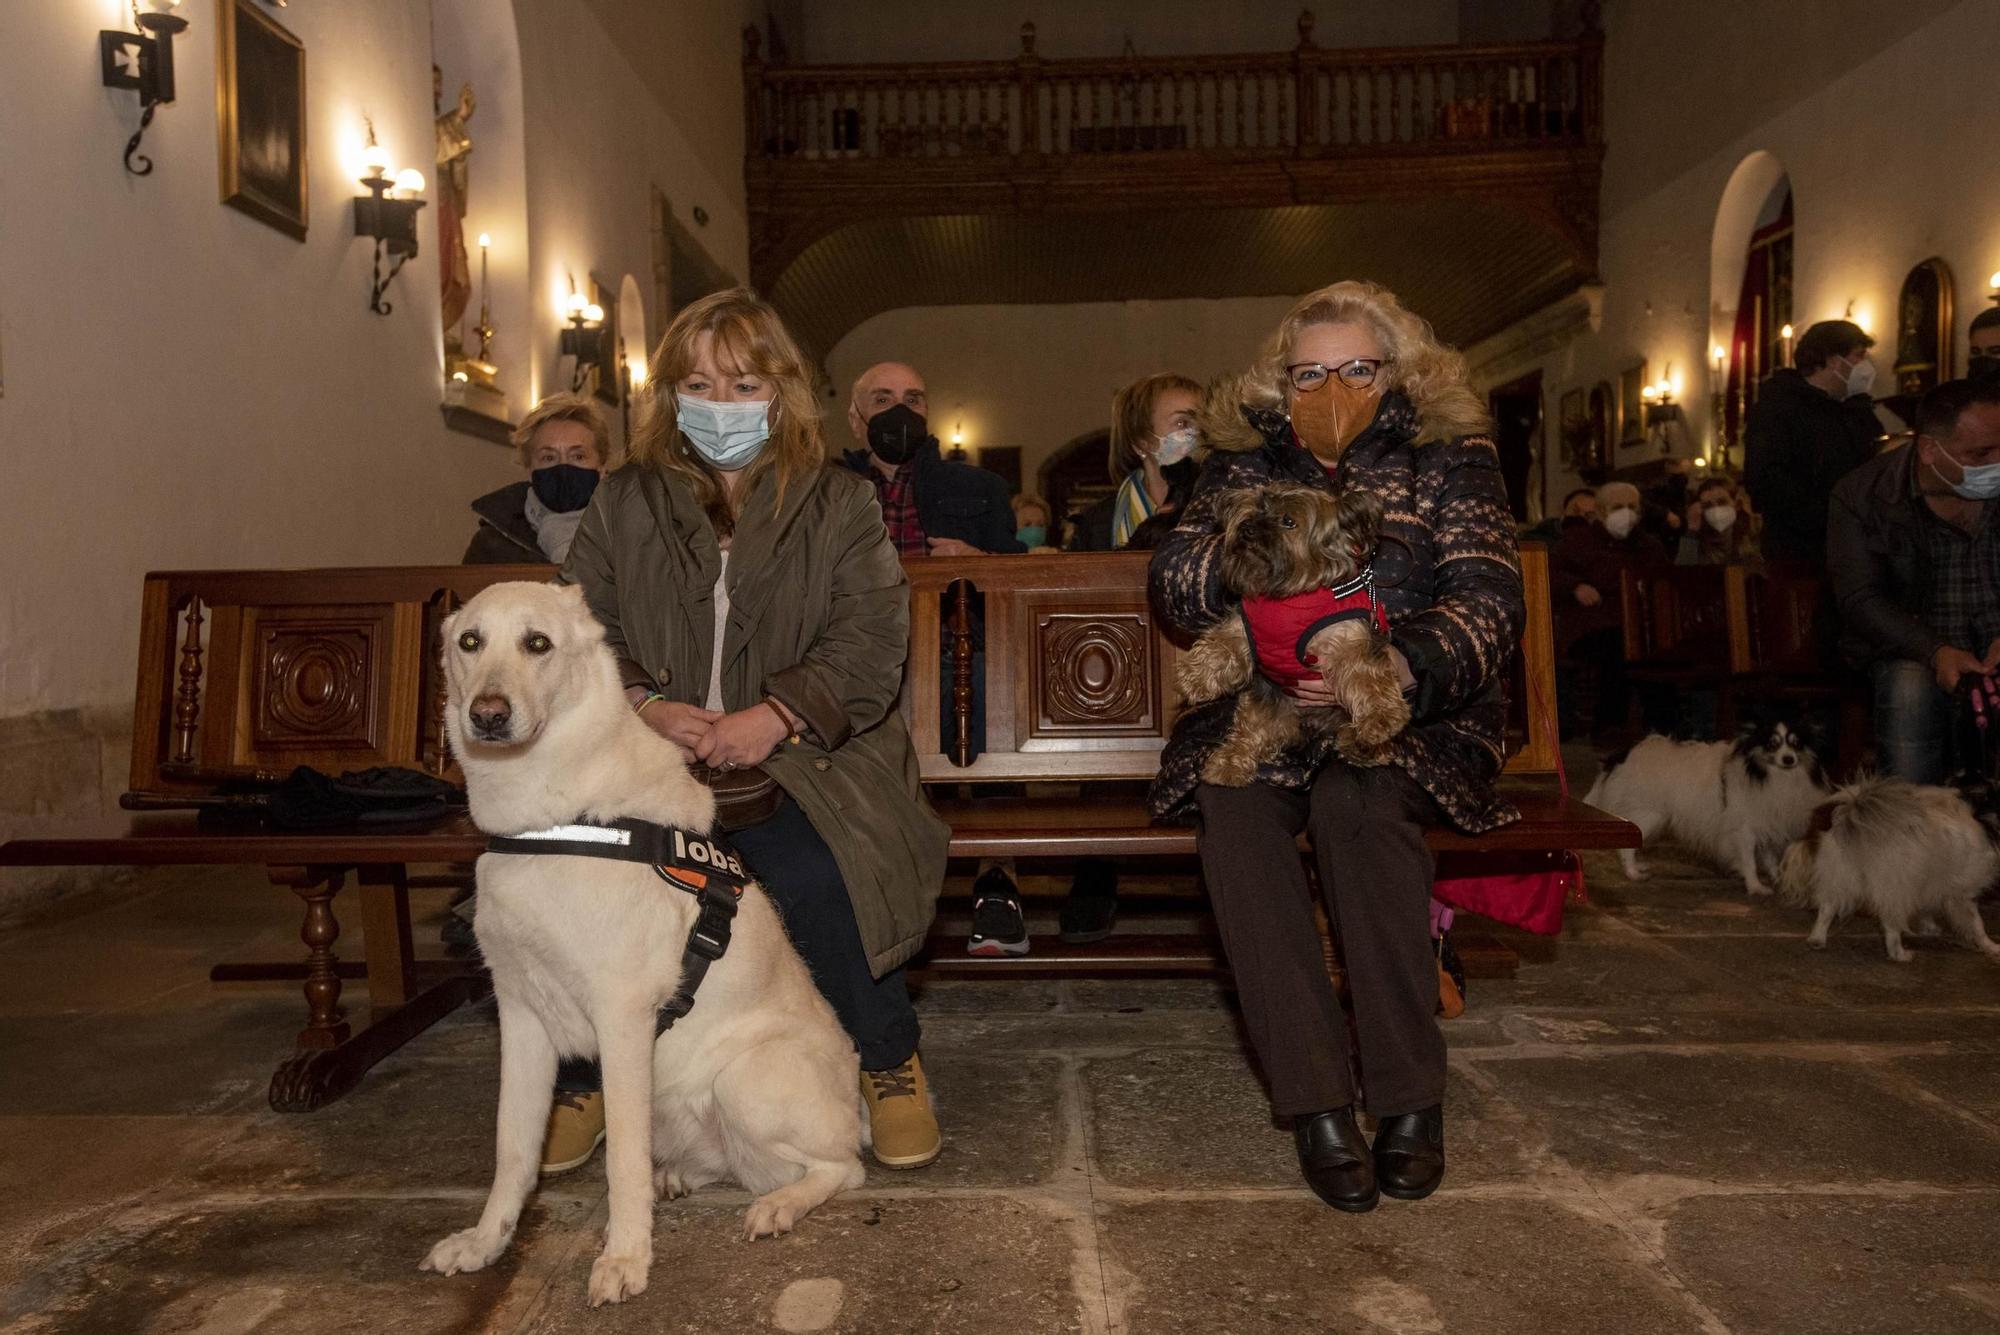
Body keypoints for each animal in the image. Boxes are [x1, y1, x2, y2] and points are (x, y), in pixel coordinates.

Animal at [418, 579, 864, 1303]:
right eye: (470, 642)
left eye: (537, 643)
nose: (487, 715)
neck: (549, 821)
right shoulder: (521, 1018)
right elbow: (513, 1150)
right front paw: (487, 1242)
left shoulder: (622, 1020)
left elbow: (620, 1161)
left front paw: (625, 1257)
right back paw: (681, 1177)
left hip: (743, 1081)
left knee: (839, 1167)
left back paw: (779, 1205)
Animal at [1168, 481, 1408, 783]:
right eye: (1255, 509)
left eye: (1288, 521)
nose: (1248, 528)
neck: (1288, 597)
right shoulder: (1247, 626)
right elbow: (1222, 644)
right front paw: (1193, 678)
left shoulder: (1350, 640)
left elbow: (1367, 677)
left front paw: (1381, 719)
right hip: (1270, 701)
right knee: (1252, 730)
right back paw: (1231, 761)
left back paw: (1365, 746)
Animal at [1584, 715, 1832, 891]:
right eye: (1772, 744)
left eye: (1796, 744)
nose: (1788, 759)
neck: (1766, 774)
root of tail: (1622, 756)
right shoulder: (1743, 828)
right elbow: (1749, 860)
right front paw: (1755, 886)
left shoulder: (1767, 823)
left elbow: (1770, 858)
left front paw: (1778, 880)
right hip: (1649, 813)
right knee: (1626, 845)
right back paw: (1633, 873)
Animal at [1784, 771, 2000, 971]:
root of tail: (1856, 813)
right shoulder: (1962, 891)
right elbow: (1977, 924)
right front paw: (1991, 946)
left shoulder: (1929, 879)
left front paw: (1928, 926)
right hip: (1895, 884)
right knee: (1890, 923)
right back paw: (1899, 954)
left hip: (1839, 873)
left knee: (1827, 908)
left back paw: (1817, 939)